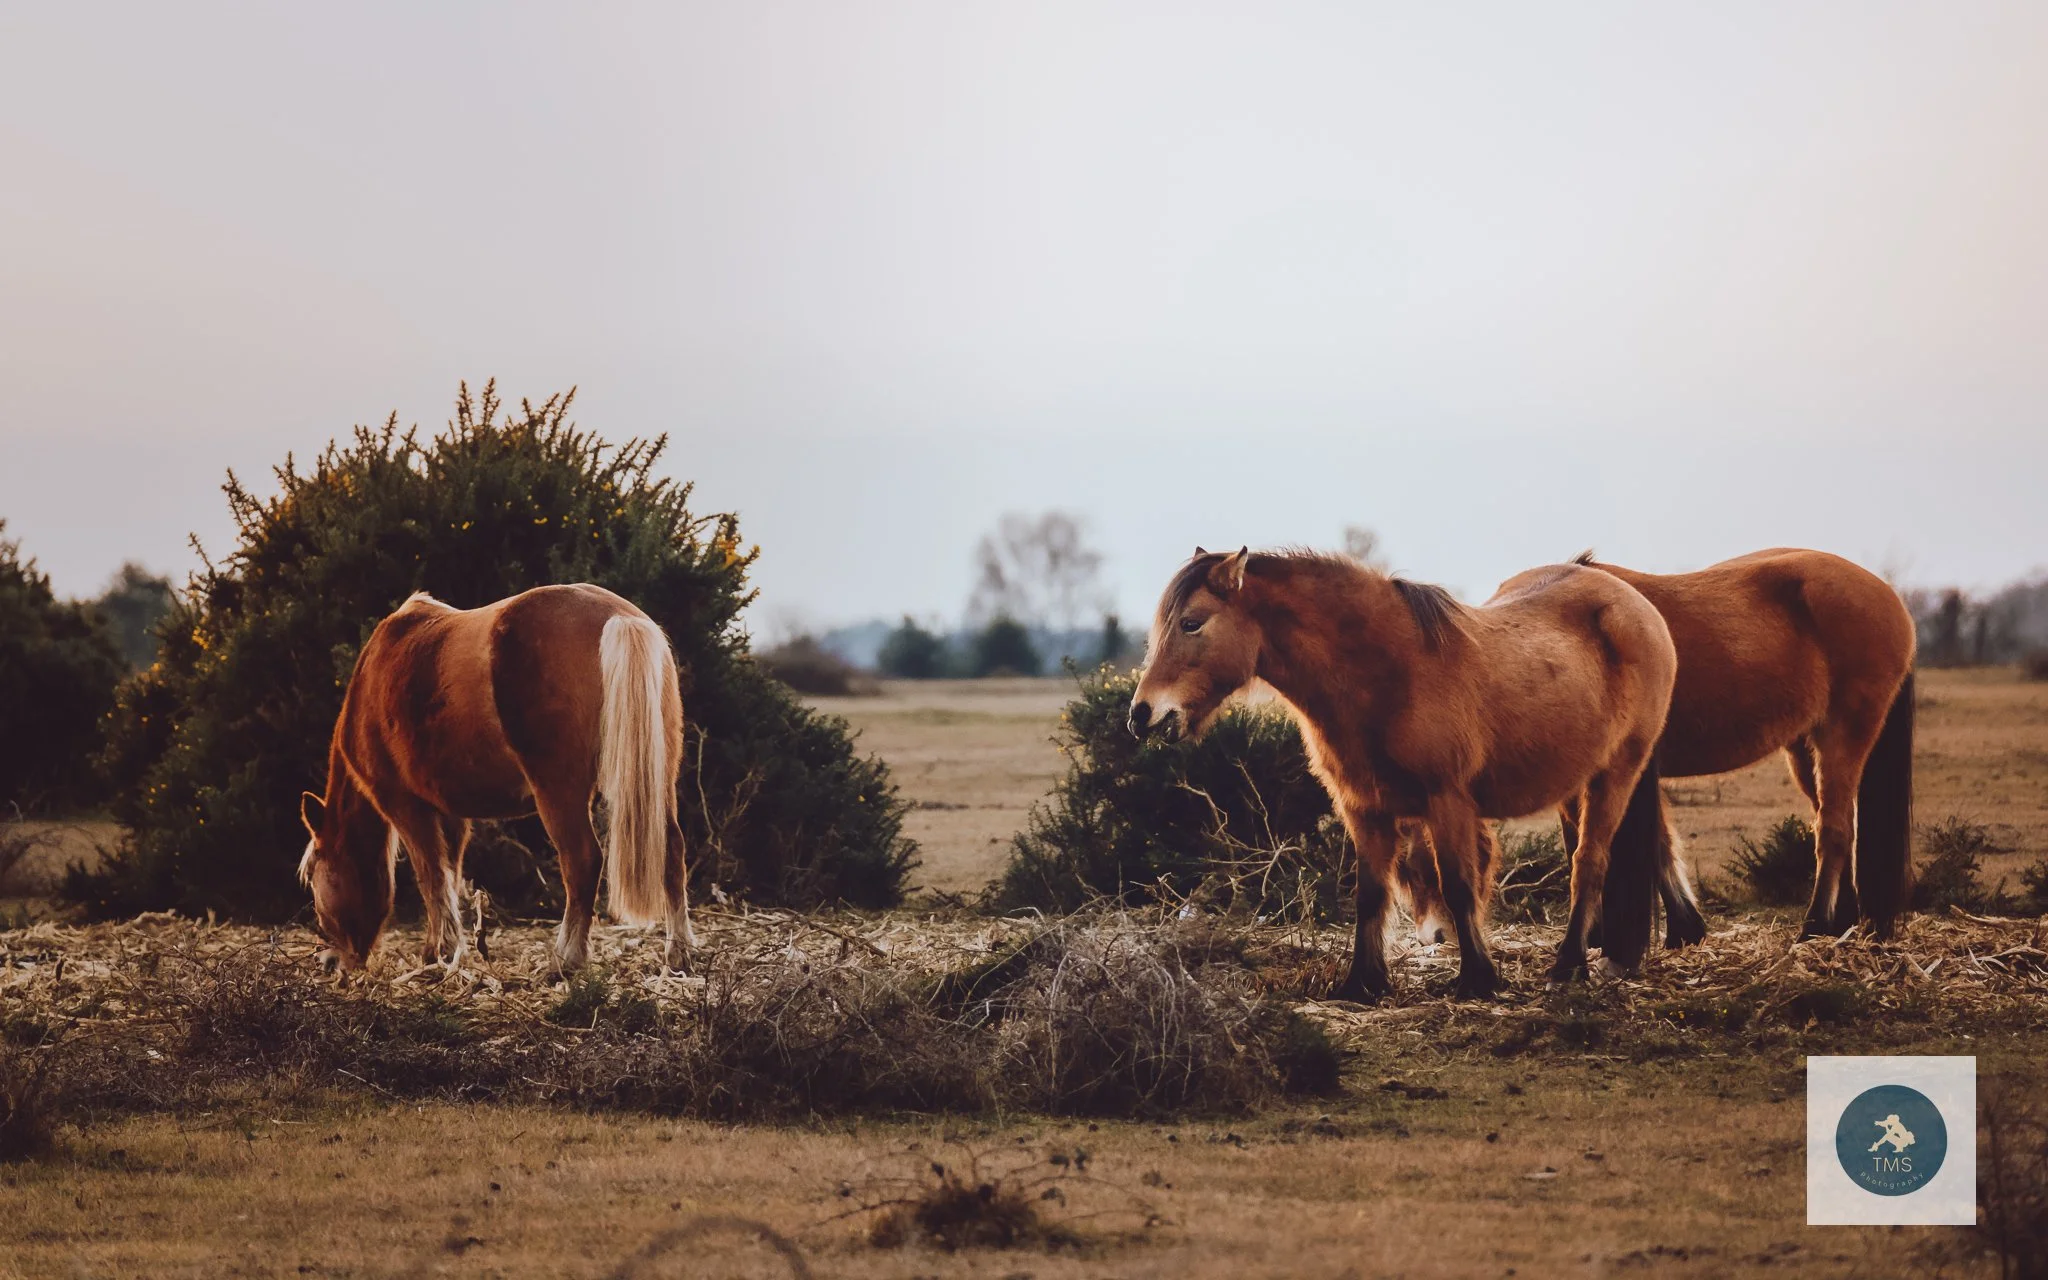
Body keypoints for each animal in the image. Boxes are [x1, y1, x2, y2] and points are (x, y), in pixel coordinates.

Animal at [296, 584, 696, 974]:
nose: (327, 961)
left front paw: (438, 954)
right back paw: (678, 953)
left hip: (558, 791)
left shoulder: (404, 804)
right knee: (672, 851)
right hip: (659, 780)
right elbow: (450, 873)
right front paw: (451, 950)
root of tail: (619, 617)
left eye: (315, 875)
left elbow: (431, 877)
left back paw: (565, 959)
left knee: (581, 859)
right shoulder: (451, 812)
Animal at [1128, 548, 1678, 999]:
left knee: (1590, 862)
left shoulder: (1446, 802)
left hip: (1617, 773)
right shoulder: (1363, 808)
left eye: (1192, 623)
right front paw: (1363, 983)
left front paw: (1477, 979)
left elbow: (1457, 884)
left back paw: (1568, 967)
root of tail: (1632, 602)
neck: (1389, 674)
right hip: (1573, 782)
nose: (1142, 714)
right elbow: (1371, 893)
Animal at [1401, 548, 1916, 945]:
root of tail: (1890, 596)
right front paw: (1680, 930)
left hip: (1842, 737)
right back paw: (1842, 924)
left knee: (1833, 829)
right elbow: (1647, 846)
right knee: (1843, 822)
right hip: (1805, 750)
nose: (1433, 938)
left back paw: (1812, 927)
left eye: (1423, 870)